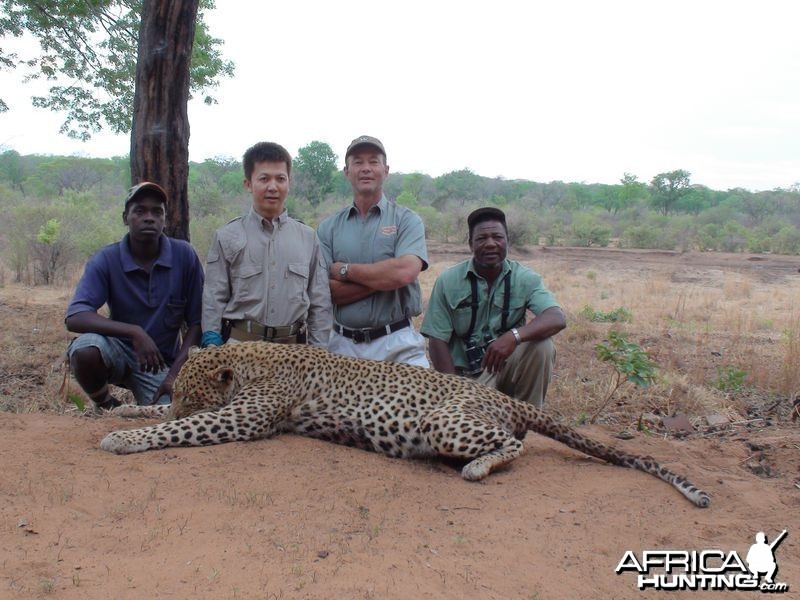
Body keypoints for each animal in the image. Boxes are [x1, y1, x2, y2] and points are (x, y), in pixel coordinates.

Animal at [101, 342, 712, 506]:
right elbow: (156, 417)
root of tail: (497, 396)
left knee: (512, 445)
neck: (248, 359)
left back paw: (478, 469)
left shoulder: (241, 418)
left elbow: (174, 431)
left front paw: (121, 438)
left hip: (447, 424)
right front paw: (122, 409)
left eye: (191, 394)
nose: (178, 400)